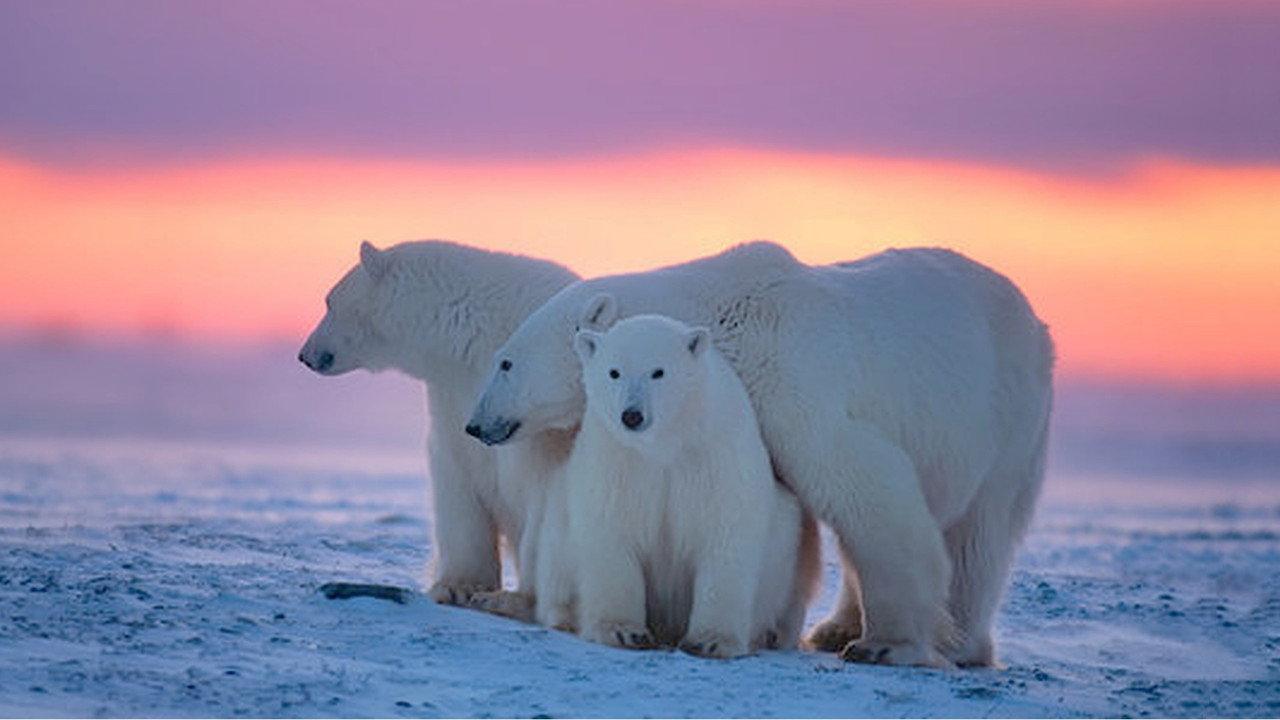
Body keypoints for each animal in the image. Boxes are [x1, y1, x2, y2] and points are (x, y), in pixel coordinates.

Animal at [298, 240, 579, 604]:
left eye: (329, 302)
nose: (304, 355)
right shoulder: (453, 394)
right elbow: (457, 477)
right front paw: (459, 586)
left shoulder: (540, 406)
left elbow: (544, 489)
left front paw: (516, 598)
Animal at [536, 314, 819, 657]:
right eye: (614, 371)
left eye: (658, 371)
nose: (632, 415)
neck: (665, 445)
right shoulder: (617, 460)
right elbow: (612, 529)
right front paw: (623, 631)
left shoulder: (714, 456)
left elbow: (724, 534)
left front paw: (711, 641)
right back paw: (564, 614)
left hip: (786, 542)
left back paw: (770, 634)